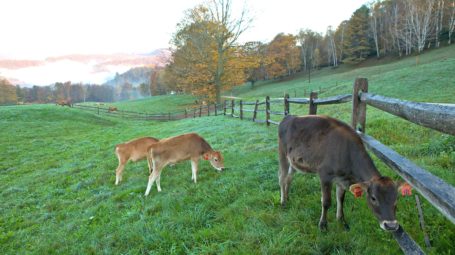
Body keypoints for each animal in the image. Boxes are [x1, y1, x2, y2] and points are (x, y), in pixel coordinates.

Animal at [280, 115, 412, 231]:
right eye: (373, 198)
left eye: (396, 198)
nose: (391, 225)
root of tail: (289, 116)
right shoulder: (324, 174)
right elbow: (326, 202)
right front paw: (323, 225)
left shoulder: (342, 179)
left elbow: (340, 199)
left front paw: (342, 221)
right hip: (282, 154)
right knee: (282, 179)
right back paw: (283, 202)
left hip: (293, 161)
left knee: (289, 178)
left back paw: (287, 196)